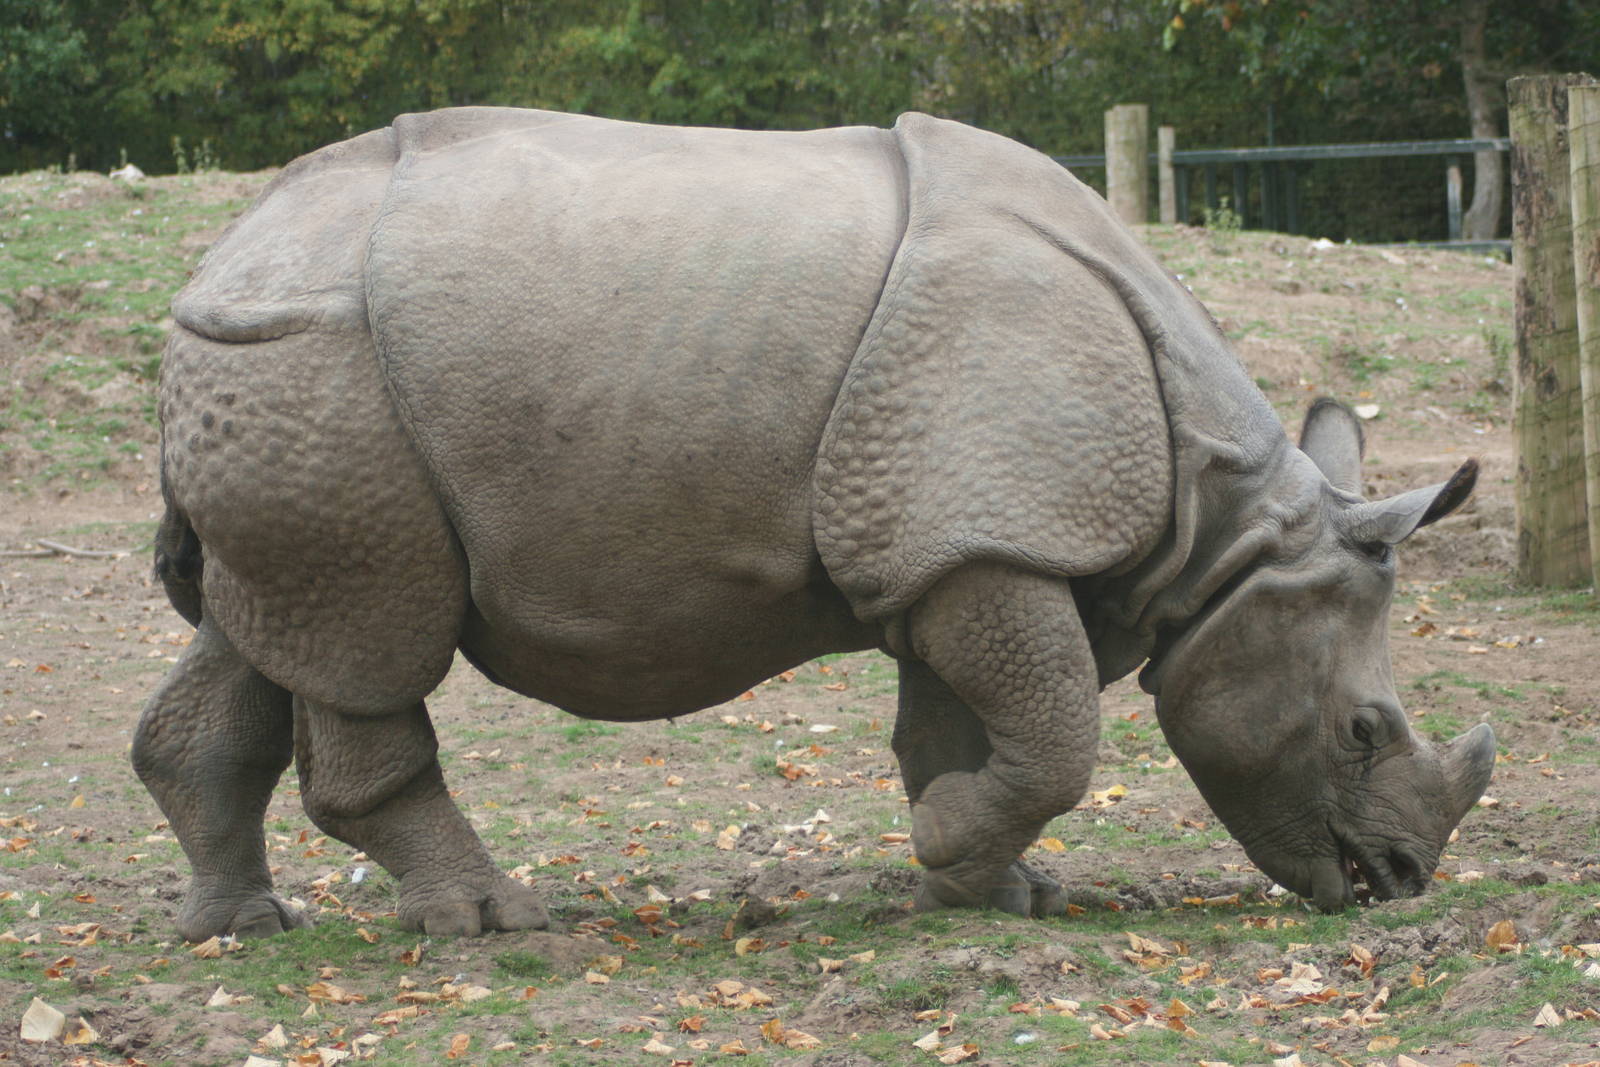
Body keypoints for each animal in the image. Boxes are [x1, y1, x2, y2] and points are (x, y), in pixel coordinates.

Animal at [134, 107, 1494, 941]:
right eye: (1363, 731)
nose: (1399, 883)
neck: (1225, 535)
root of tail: (219, 255)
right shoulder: (991, 537)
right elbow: (1056, 733)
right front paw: (950, 850)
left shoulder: (952, 540)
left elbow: (963, 726)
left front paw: (994, 888)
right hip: (320, 361)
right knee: (373, 636)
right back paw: (490, 922)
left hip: (288, 373)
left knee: (274, 626)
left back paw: (243, 926)